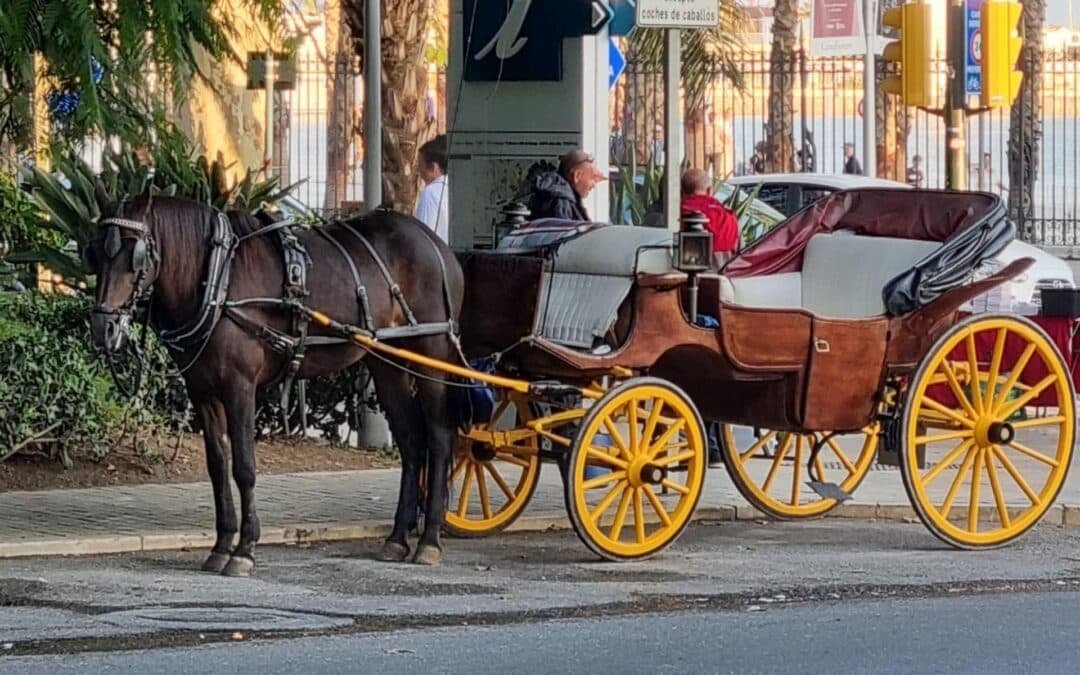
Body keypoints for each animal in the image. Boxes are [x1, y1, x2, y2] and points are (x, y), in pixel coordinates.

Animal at [82, 187, 465, 576]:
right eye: (94, 251)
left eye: (135, 254)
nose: (103, 328)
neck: (217, 278)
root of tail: (435, 242)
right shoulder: (202, 391)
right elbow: (218, 466)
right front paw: (221, 545)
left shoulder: (240, 386)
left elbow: (244, 467)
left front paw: (244, 549)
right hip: (386, 361)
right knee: (412, 441)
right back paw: (398, 538)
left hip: (431, 350)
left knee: (439, 437)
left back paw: (429, 540)